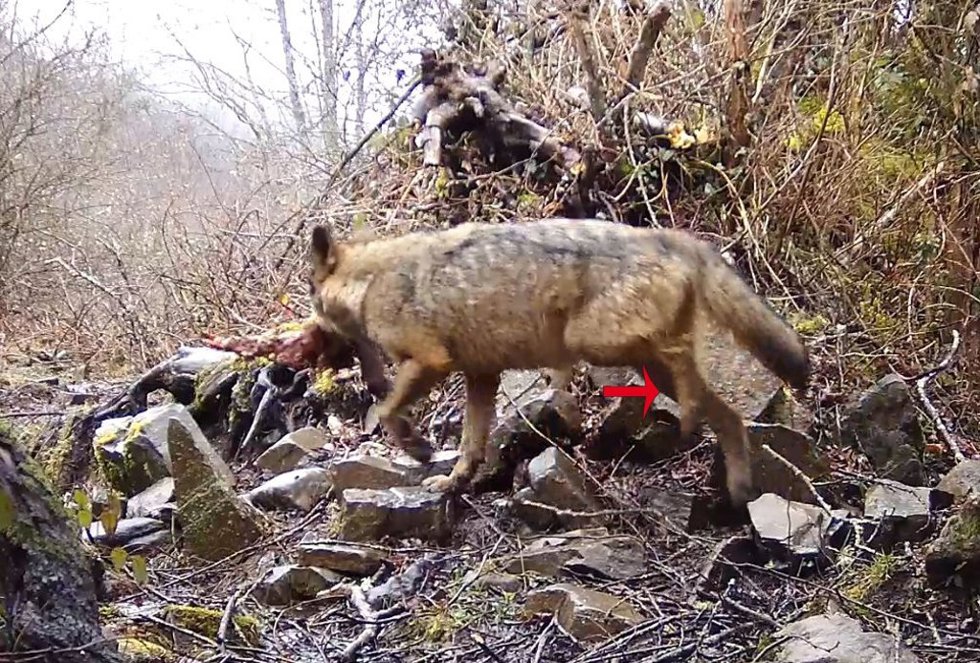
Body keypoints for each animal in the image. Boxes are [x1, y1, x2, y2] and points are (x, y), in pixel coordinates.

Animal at [307, 218, 810, 507]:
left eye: (311, 297)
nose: (307, 333)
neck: (371, 282)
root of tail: (672, 237)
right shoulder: (481, 376)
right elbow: (471, 445)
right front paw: (451, 483)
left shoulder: (431, 360)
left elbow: (390, 411)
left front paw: (417, 448)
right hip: (639, 360)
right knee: (729, 416)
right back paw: (739, 492)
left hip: (602, 345)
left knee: (687, 367)